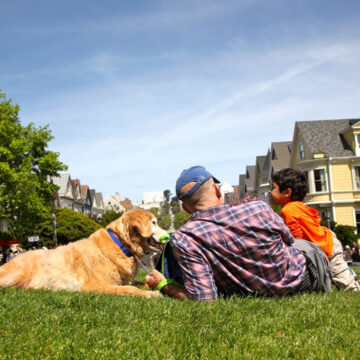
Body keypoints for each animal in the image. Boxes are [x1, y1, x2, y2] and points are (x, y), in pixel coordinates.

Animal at [0, 208, 166, 298]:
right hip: (18, 272)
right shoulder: (96, 285)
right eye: (154, 223)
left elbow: (141, 283)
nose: (169, 234)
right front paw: (153, 294)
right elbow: (129, 289)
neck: (121, 245)